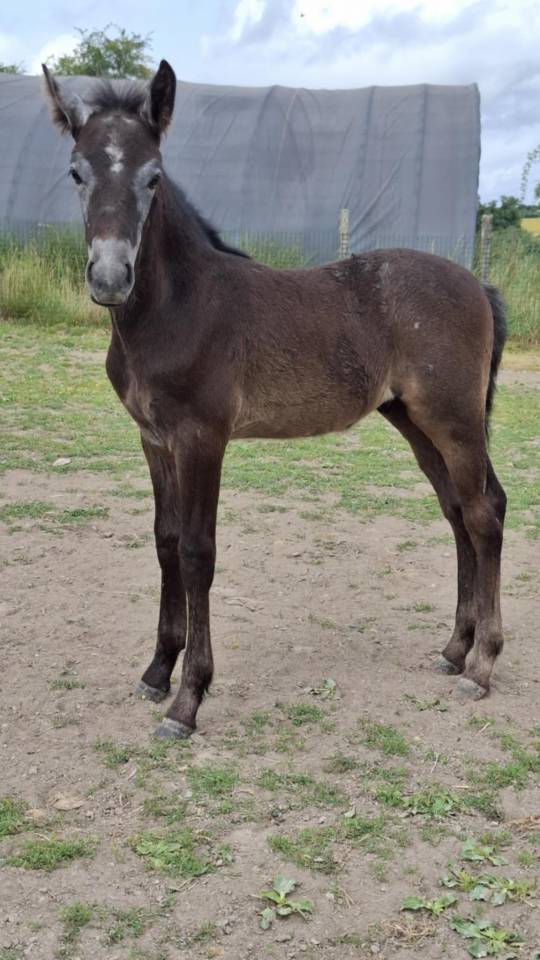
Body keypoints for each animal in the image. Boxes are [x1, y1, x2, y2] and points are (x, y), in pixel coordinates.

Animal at [43, 60, 507, 740]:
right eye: (77, 173)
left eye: (154, 177)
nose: (109, 278)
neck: (177, 307)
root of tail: (476, 283)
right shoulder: (153, 438)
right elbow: (164, 540)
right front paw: (157, 673)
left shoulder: (202, 437)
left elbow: (197, 552)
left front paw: (188, 700)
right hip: (415, 422)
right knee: (457, 513)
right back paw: (454, 650)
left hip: (455, 420)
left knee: (484, 513)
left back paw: (482, 665)